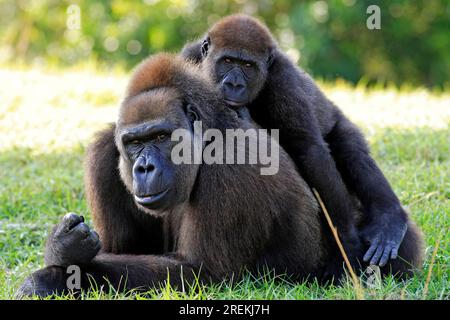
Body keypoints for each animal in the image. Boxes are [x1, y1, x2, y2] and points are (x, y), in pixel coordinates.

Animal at [16, 53, 338, 296]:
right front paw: (63, 252)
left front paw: (54, 272)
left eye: (161, 137)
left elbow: (201, 273)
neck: (211, 132)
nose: (144, 167)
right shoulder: (104, 150)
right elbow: (121, 250)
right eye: (134, 143)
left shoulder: (230, 165)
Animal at [182, 15, 418, 272]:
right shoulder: (190, 56)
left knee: (353, 153)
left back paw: (389, 216)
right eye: (227, 61)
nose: (234, 85)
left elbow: (309, 151)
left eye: (248, 66)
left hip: (337, 120)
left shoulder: (281, 78)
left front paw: (347, 242)